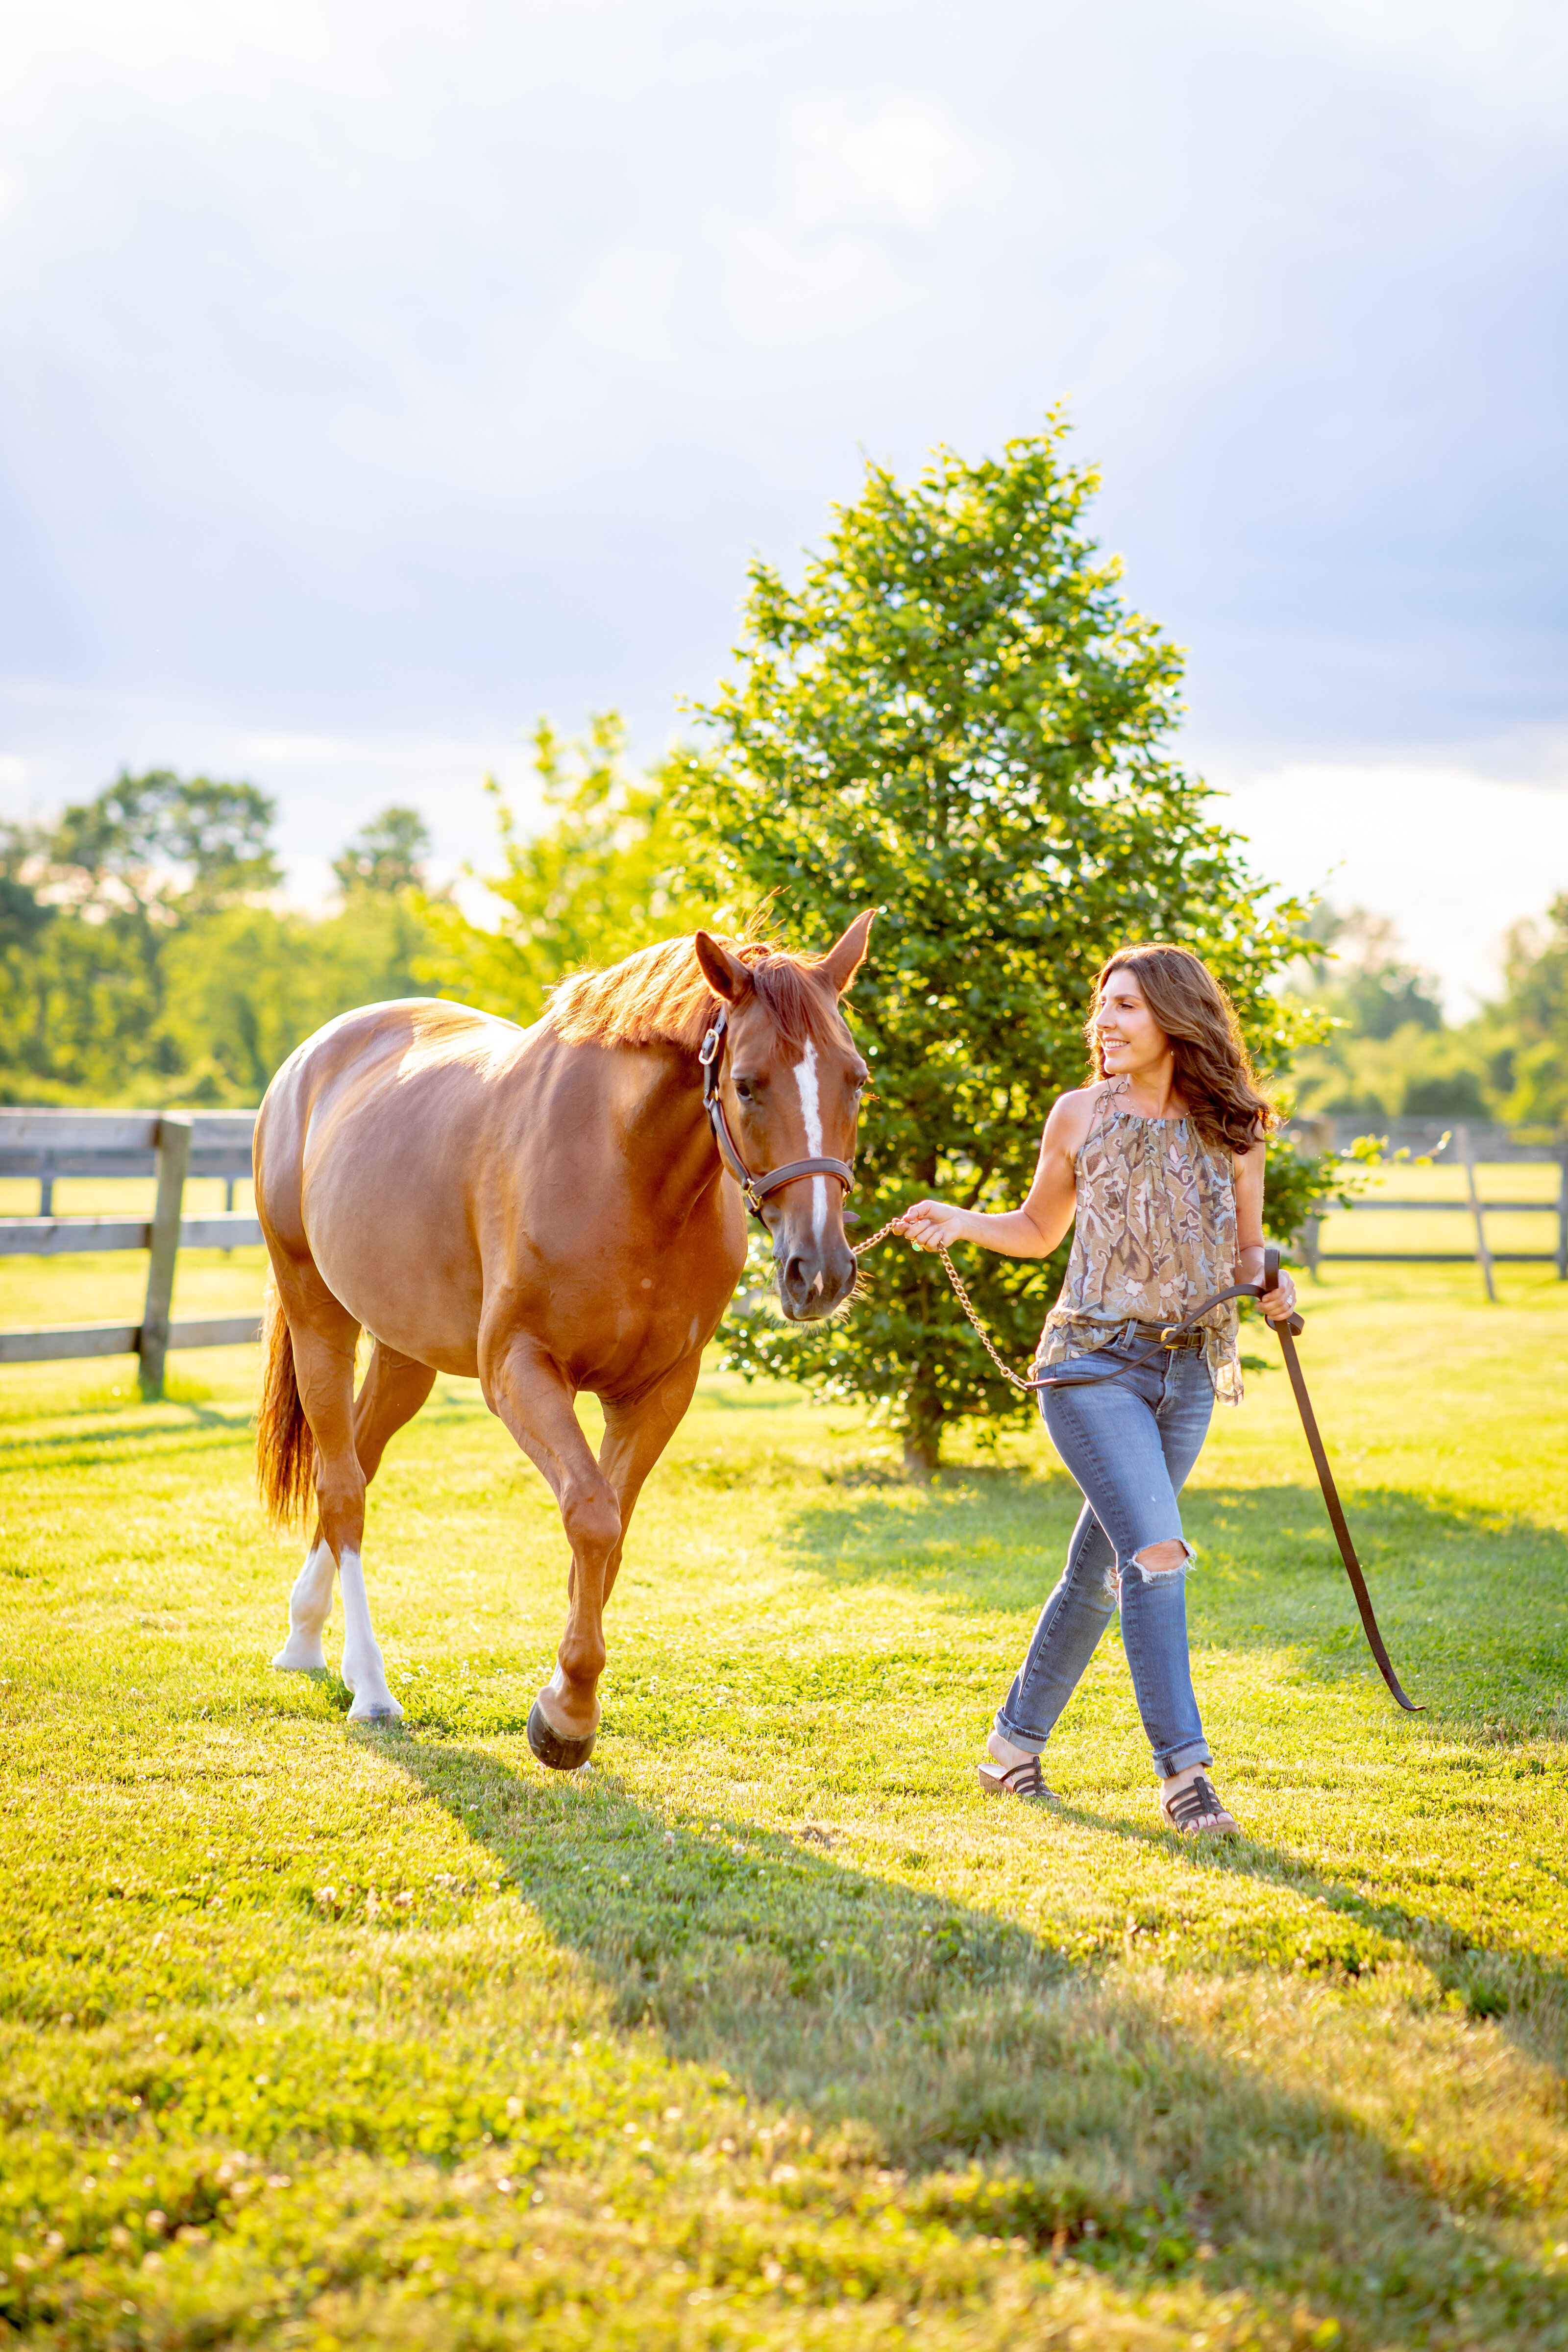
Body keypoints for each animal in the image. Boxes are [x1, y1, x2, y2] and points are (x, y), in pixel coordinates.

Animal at [252, 910, 876, 1766]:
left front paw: (564, 1701)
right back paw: (371, 1689)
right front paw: (567, 1716)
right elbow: (591, 1516)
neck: (624, 1174)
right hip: (319, 1315)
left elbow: (611, 1540)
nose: (819, 1271)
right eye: (746, 1083)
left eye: (857, 1080)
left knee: (359, 1462)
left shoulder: (660, 1391)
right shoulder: (520, 1371)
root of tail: (309, 1060)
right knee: (343, 1490)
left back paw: (306, 1641)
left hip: (406, 1353)